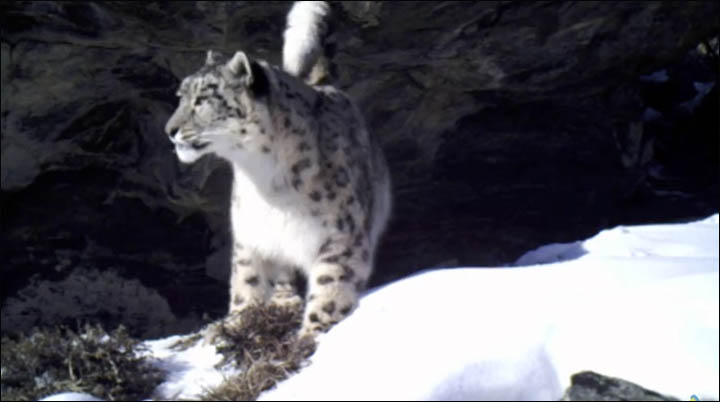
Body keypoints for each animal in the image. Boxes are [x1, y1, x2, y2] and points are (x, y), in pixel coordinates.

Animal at [164, 1, 390, 338]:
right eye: (181, 97)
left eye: (203, 99)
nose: (170, 130)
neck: (265, 181)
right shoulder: (250, 238)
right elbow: (247, 283)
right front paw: (240, 322)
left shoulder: (341, 237)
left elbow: (331, 286)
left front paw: (313, 334)